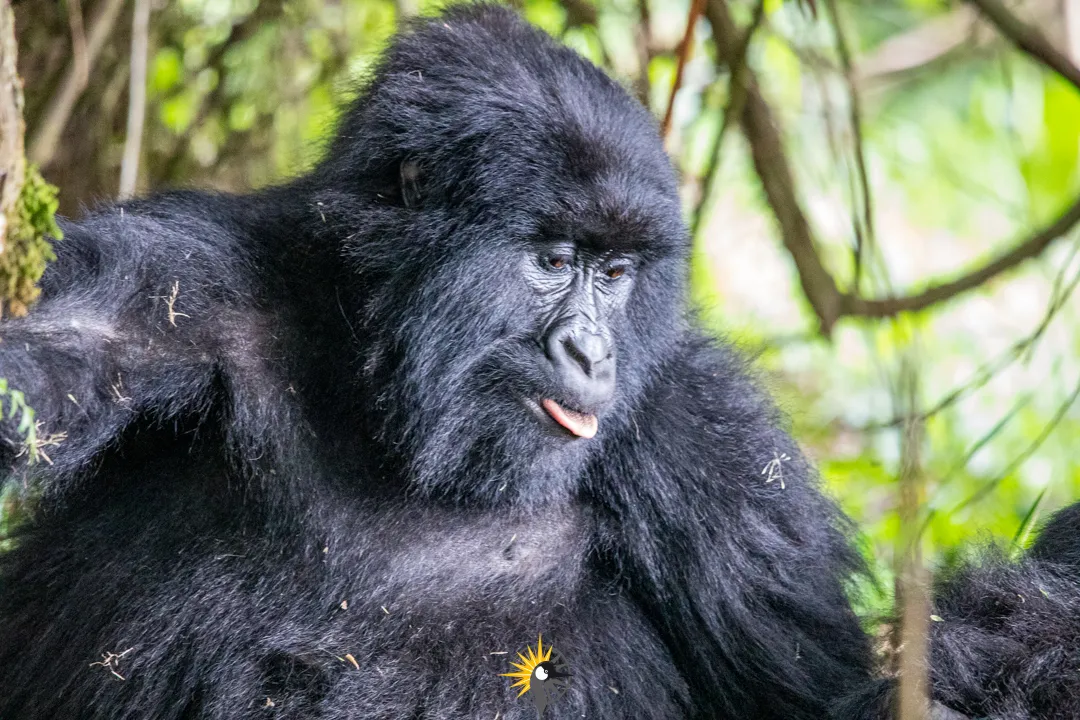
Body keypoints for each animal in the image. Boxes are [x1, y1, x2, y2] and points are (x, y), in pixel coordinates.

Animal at [0, 5, 1075, 720]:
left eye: (617, 273)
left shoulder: (710, 446)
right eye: (555, 262)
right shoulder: (189, 278)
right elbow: (66, 363)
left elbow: (818, 690)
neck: (384, 389)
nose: (590, 350)